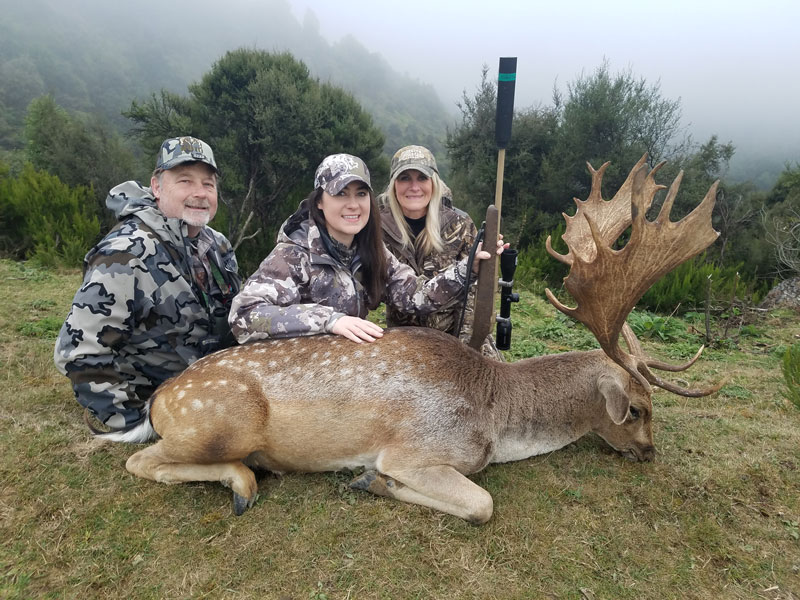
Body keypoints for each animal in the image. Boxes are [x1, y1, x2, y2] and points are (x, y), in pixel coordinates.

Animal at [99, 155, 722, 524]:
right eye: (638, 409)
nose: (648, 452)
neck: (495, 415)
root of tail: (159, 399)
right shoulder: (418, 448)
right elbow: (481, 504)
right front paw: (371, 481)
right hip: (217, 420)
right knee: (142, 461)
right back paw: (243, 483)